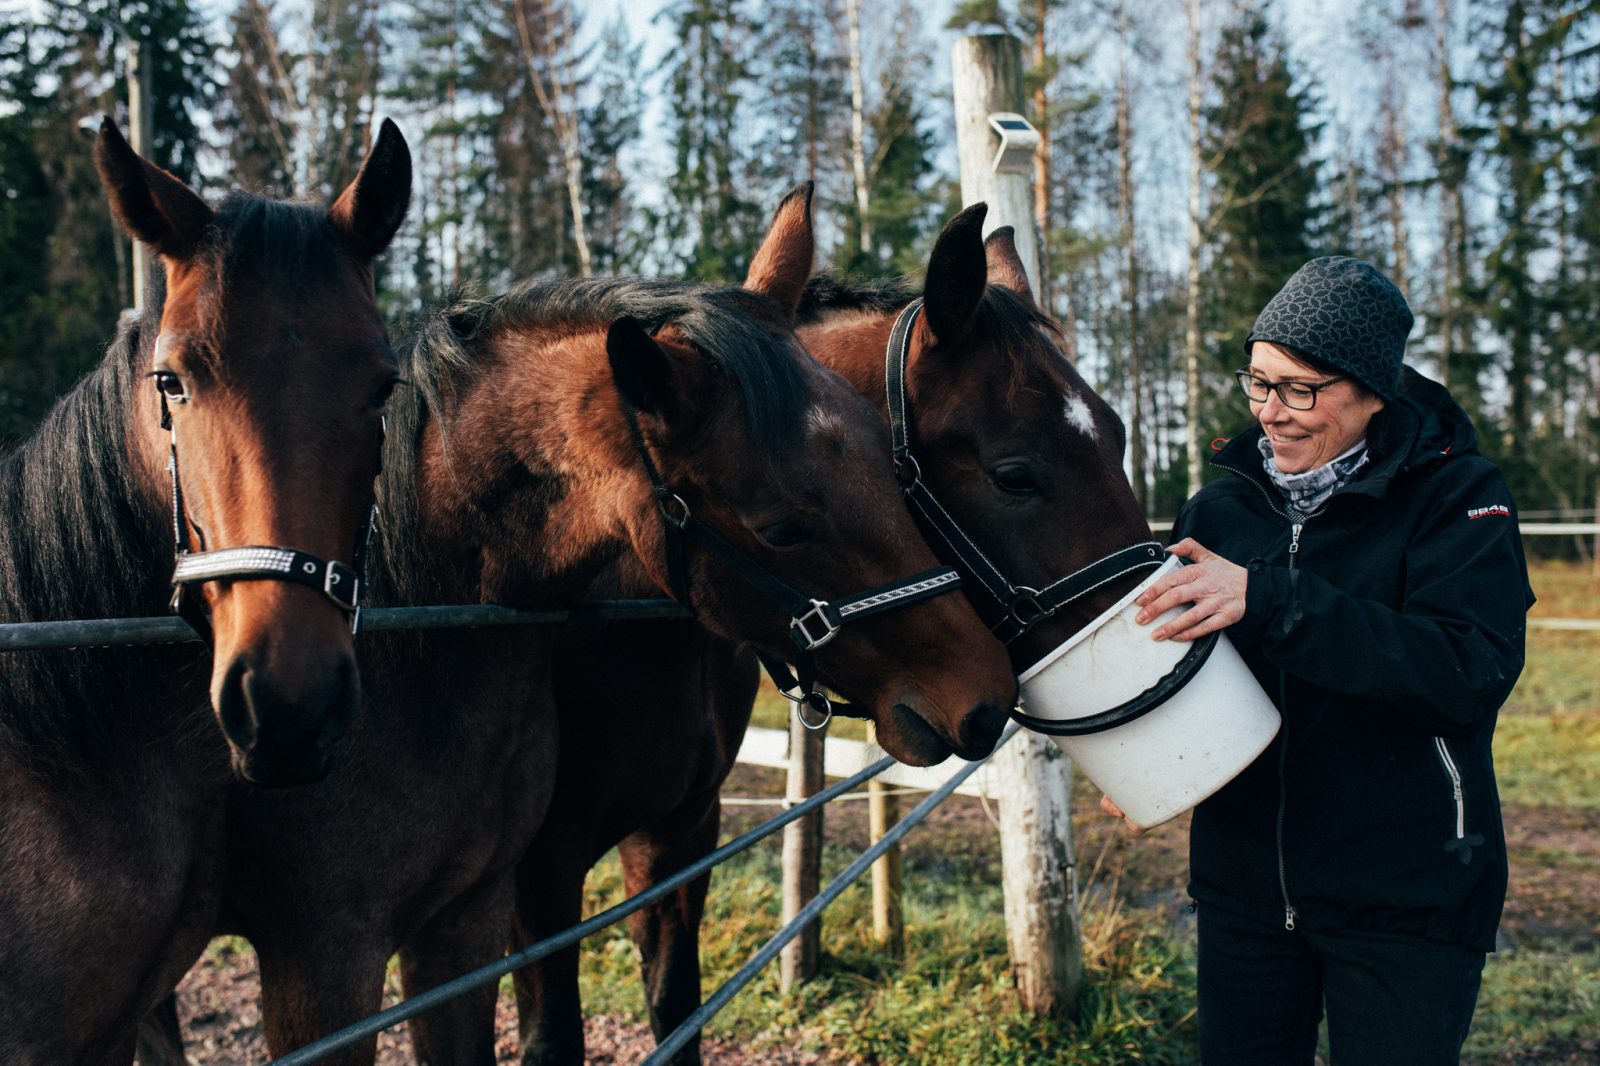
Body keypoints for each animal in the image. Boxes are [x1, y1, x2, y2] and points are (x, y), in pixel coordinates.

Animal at [172, 203, 1011, 1056]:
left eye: (890, 463)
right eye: (781, 528)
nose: (986, 696)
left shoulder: (678, 839)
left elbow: (675, 1007)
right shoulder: (520, 884)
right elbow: (554, 1037)